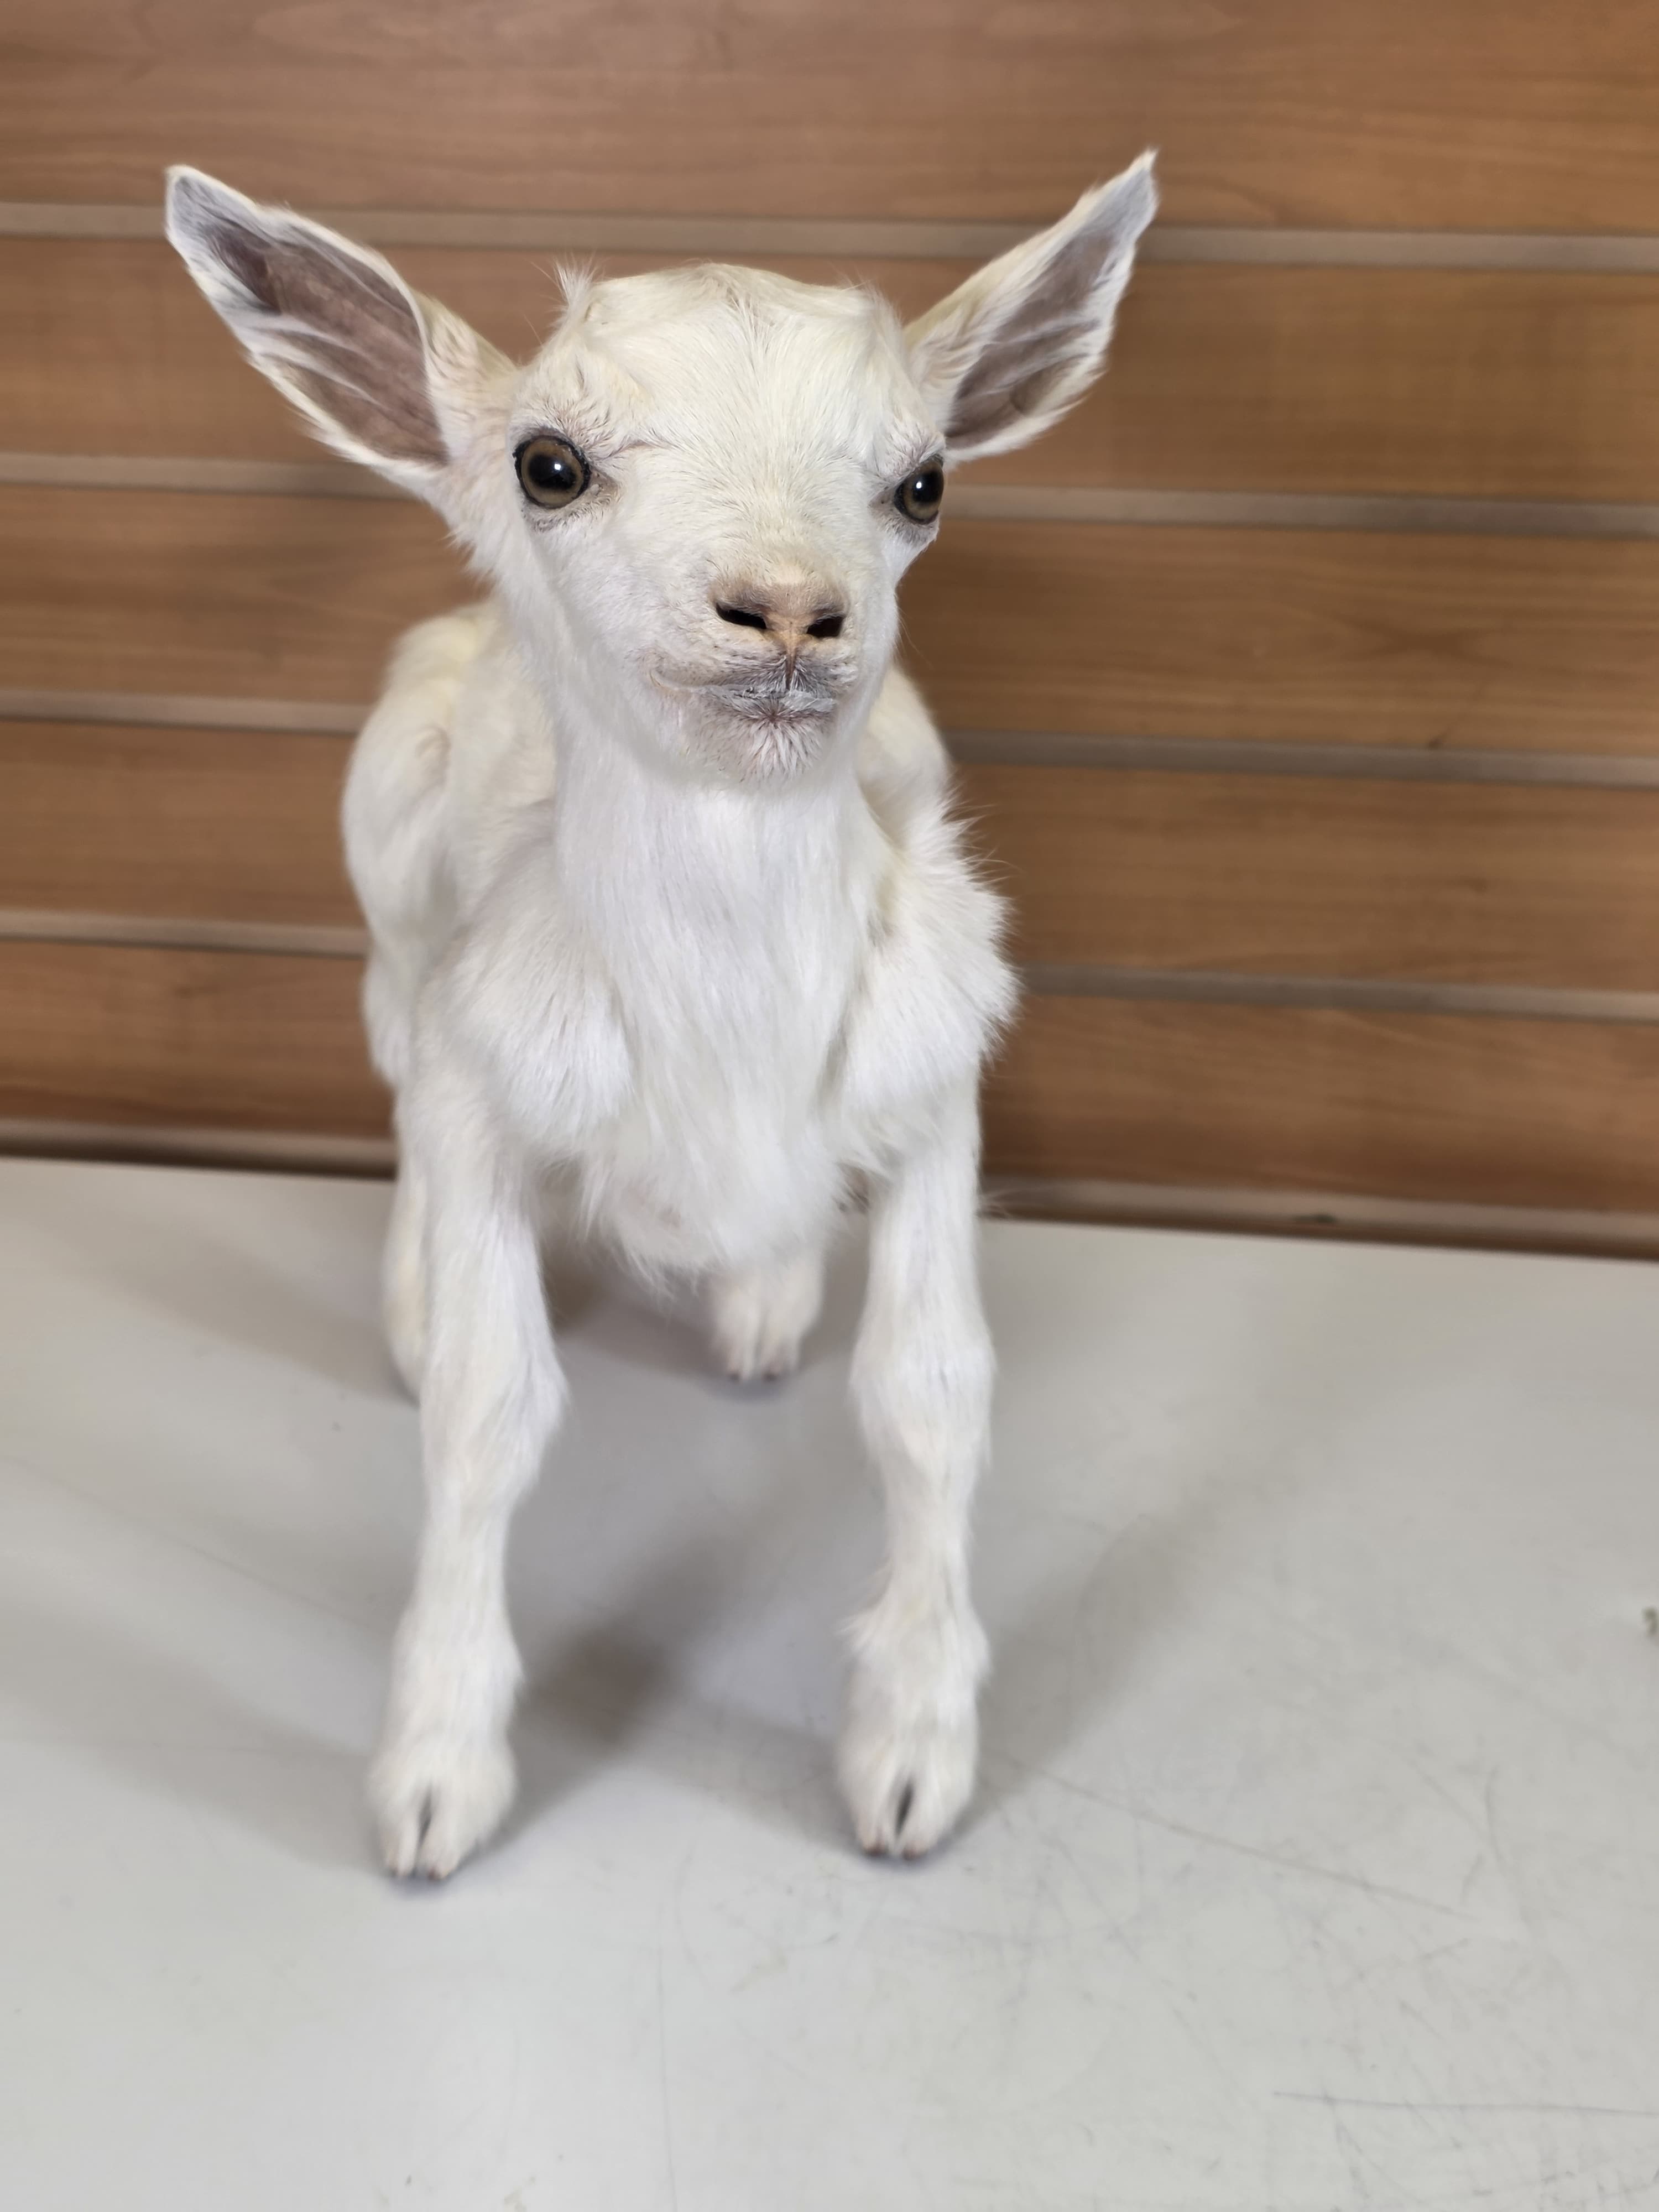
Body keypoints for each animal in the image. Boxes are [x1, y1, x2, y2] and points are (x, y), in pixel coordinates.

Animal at [165, 156, 1157, 1878]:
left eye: (923, 482)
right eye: (549, 464)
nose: (787, 610)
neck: (726, 1029)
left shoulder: (935, 1087)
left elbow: (930, 1388)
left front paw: (910, 1757)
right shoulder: (489, 1080)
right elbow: (488, 1410)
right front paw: (435, 1774)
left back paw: (760, 1298)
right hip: (389, 887)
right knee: (393, 1058)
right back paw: (413, 1303)